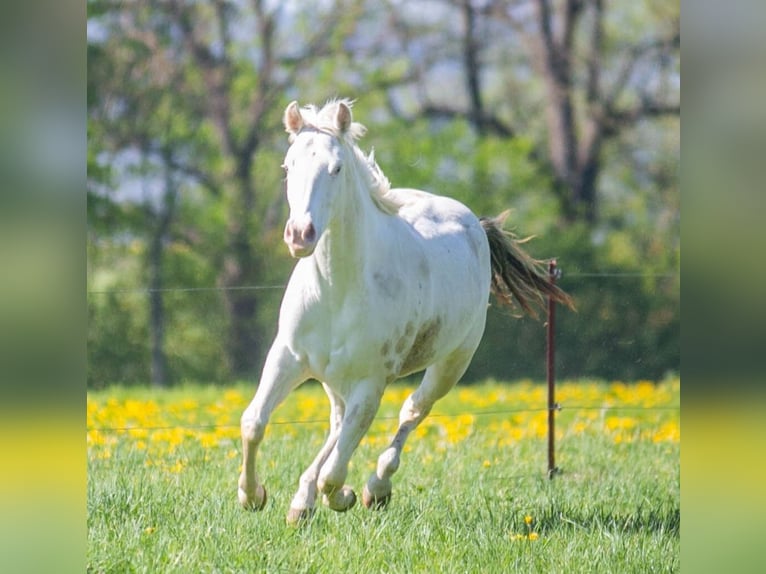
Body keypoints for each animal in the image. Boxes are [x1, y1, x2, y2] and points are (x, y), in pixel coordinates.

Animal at [238, 99, 573, 524]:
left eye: (336, 168)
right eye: (287, 166)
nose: (300, 235)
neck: (336, 290)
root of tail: (474, 224)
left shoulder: (371, 381)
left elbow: (337, 470)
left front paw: (343, 496)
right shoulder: (288, 357)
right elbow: (254, 422)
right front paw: (252, 495)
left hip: (450, 365)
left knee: (411, 412)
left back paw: (373, 489)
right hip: (333, 376)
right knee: (337, 423)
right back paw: (303, 500)